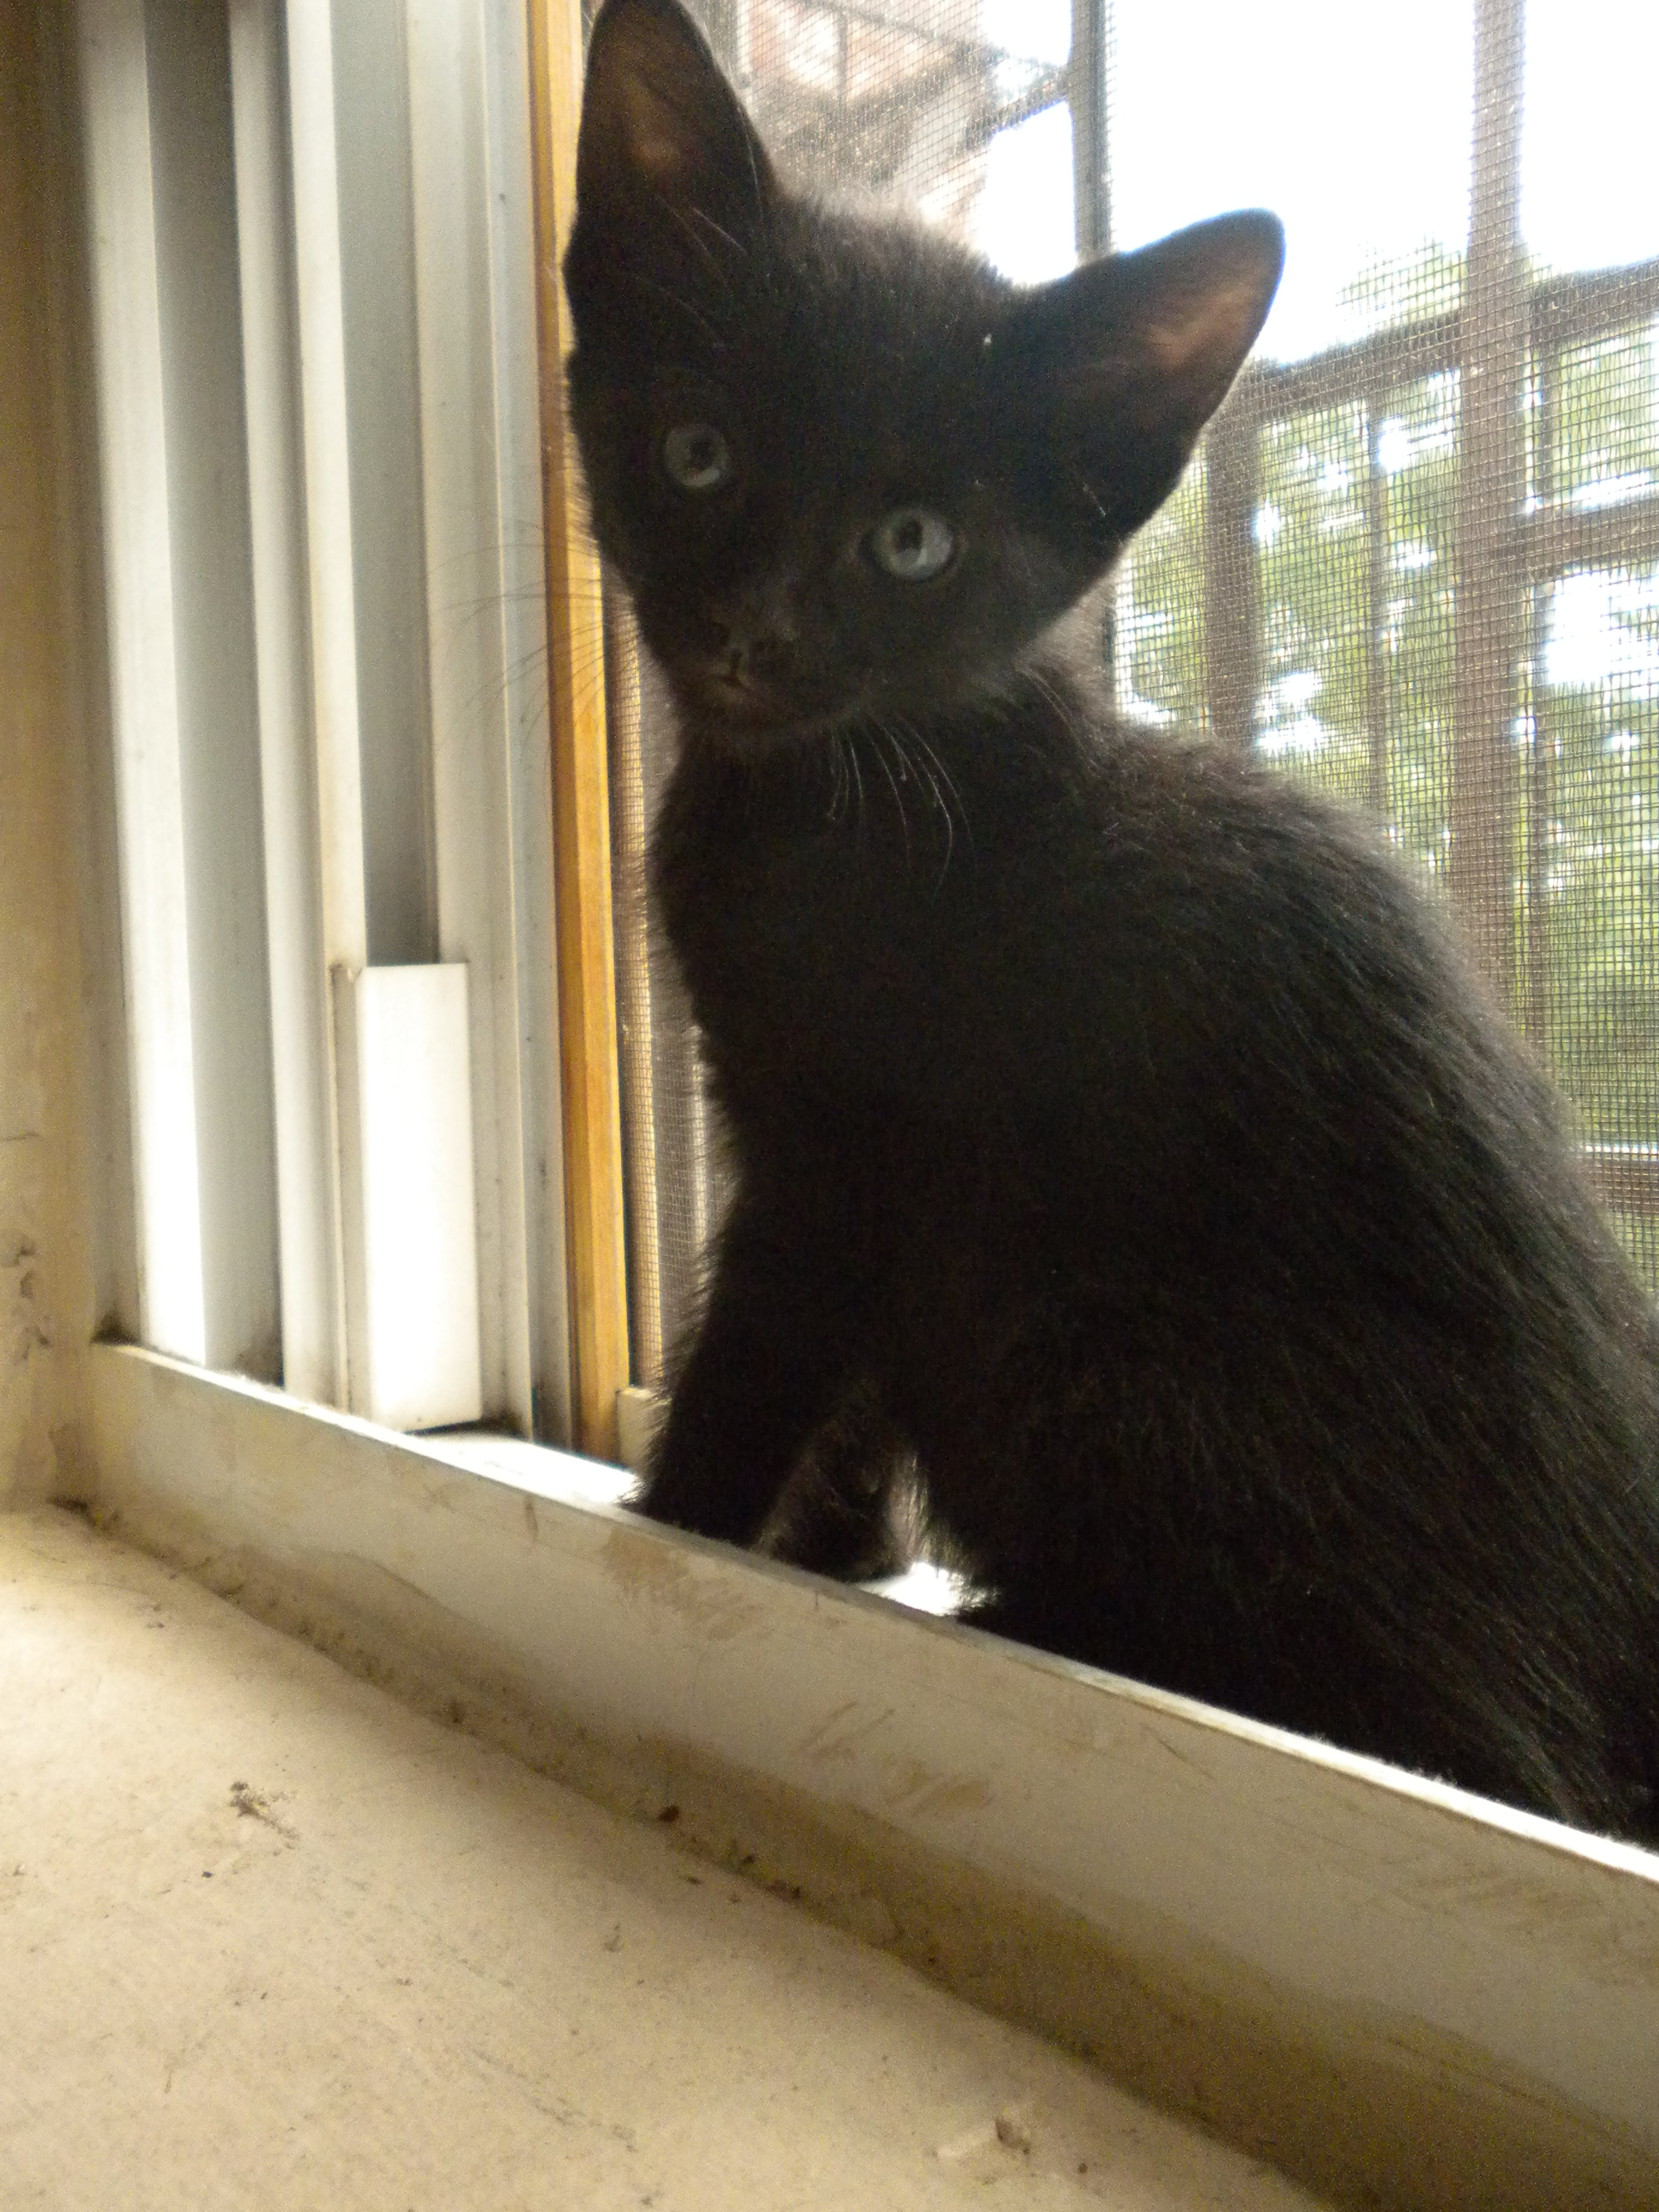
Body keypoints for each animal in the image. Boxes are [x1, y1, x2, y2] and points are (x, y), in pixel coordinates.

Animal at [564, 0, 1659, 1841]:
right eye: (697, 453)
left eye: (911, 542)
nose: (754, 636)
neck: (848, 780)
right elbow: (851, 1393)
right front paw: (833, 1556)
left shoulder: (845, 1148)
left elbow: (765, 1351)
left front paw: (680, 1537)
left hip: (1078, 1336)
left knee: (1432, 1733)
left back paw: (1036, 1621)